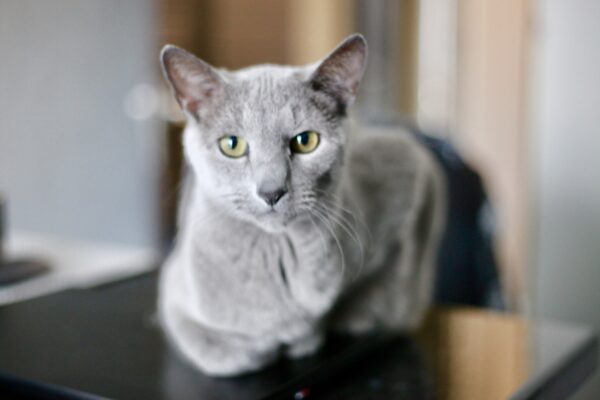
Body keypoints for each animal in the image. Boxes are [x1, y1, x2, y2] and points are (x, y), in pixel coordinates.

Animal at [157, 33, 448, 376]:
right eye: (232, 145)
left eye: (305, 141)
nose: (271, 191)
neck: (279, 254)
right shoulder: (173, 284)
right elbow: (207, 340)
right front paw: (262, 346)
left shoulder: (411, 166)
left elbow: (396, 280)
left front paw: (317, 331)